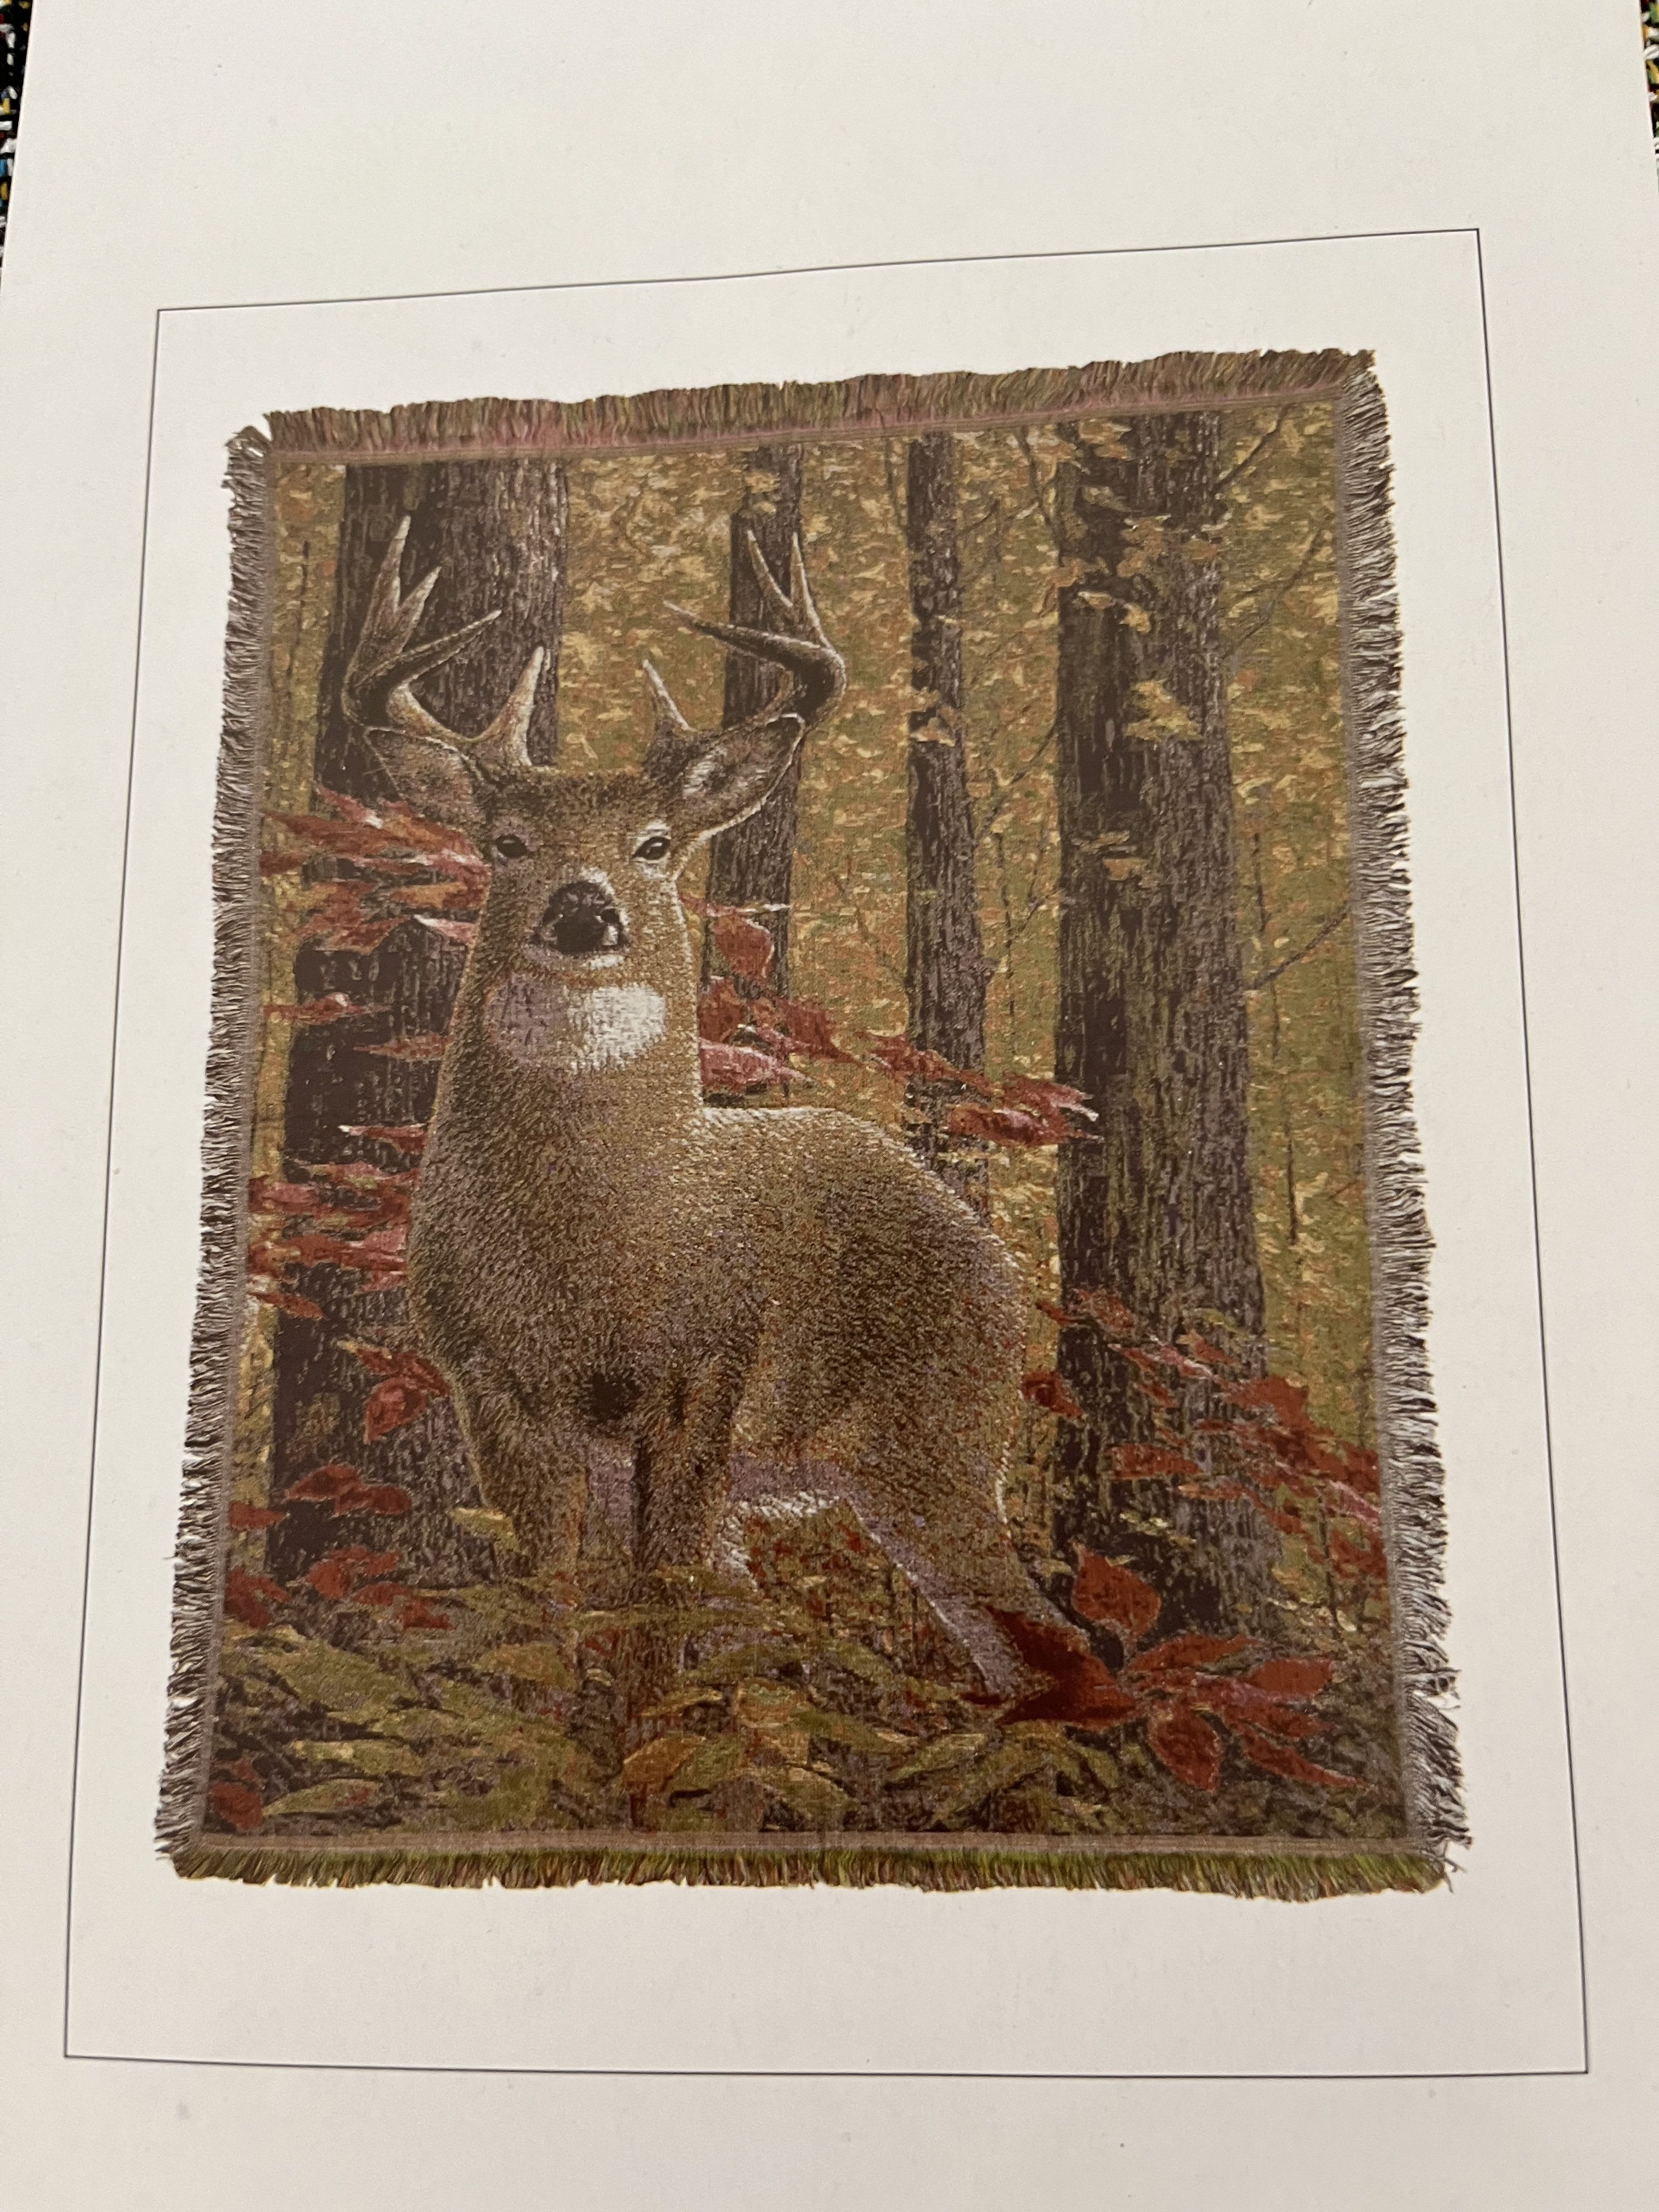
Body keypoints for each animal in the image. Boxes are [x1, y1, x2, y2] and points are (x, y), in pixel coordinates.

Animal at [341, 518, 1097, 1701]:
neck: (599, 1233)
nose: (584, 904)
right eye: (508, 841)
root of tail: (1001, 1269)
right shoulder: (494, 1386)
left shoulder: (707, 1370)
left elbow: (657, 1621)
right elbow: (547, 1613)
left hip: (937, 1433)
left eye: (655, 842)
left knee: (1055, 1648)